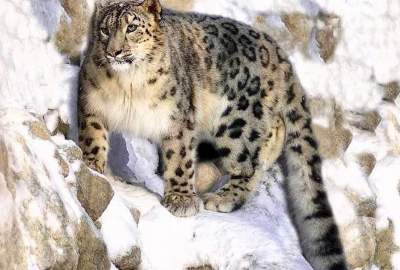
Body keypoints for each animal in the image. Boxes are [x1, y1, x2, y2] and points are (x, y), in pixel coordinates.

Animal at [77, 1, 346, 268]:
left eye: (132, 27)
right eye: (104, 29)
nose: (114, 52)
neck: (128, 85)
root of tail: (278, 51)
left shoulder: (178, 118)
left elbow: (180, 159)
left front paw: (181, 199)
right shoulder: (91, 103)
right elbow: (93, 138)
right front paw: (93, 167)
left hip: (238, 123)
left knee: (251, 160)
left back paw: (223, 197)